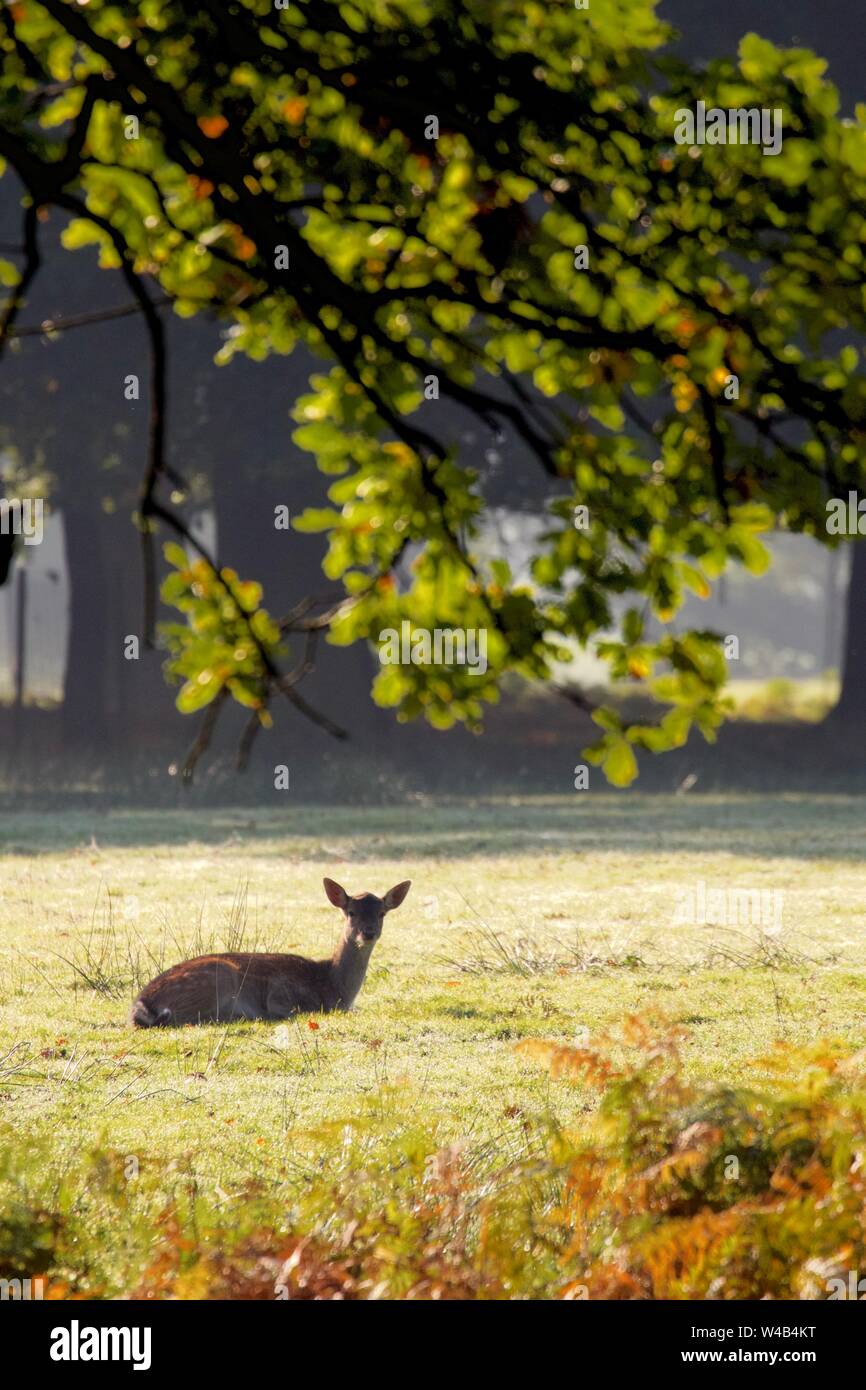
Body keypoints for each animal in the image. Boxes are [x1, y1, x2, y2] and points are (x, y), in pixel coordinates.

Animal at [130, 878, 411, 1034]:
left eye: (381, 913)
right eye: (351, 912)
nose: (368, 932)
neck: (333, 987)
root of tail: (141, 1004)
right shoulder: (281, 994)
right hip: (219, 978)